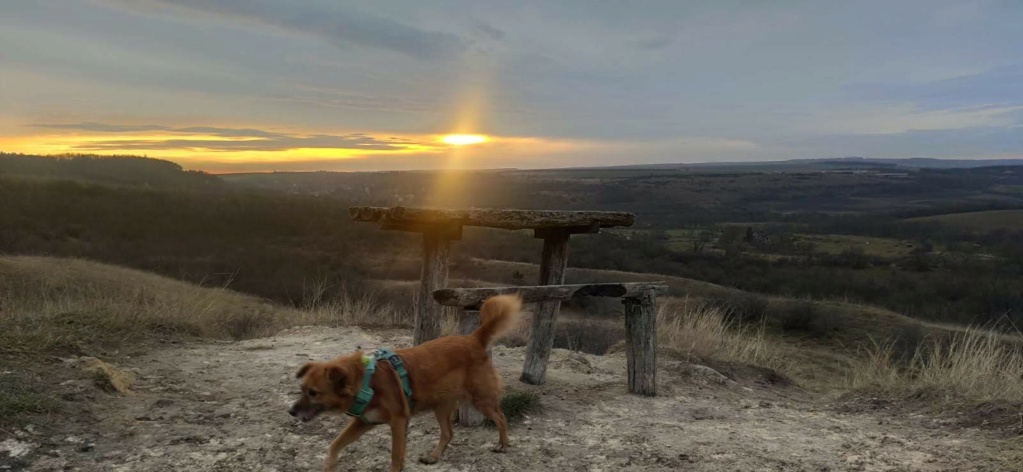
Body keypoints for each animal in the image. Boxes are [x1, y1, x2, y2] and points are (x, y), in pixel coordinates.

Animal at [290, 292, 523, 468]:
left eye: (314, 393)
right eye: (302, 388)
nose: (291, 412)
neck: (366, 381)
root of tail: (473, 338)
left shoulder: (399, 421)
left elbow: (396, 458)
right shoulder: (364, 422)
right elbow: (335, 445)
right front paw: (329, 464)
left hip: (481, 399)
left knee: (501, 417)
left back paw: (503, 444)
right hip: (441, 405)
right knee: (448, 433)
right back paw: (433, 456)